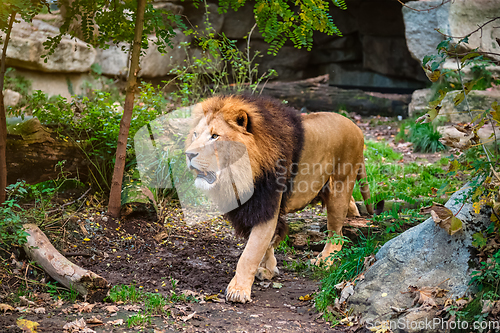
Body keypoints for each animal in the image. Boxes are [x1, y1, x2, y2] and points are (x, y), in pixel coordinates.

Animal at [184, 94, 372, 302]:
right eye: (195, 134)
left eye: (215, 136)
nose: (188, 154)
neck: (238, 173)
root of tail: (356, 128)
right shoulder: (250, 209)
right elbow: (265, 244)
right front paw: (269, 270)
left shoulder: (267, 205)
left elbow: (250, 252)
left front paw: (238, 290)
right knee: (350, 207)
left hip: (339, 187)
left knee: (336, 234)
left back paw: (324, 260)